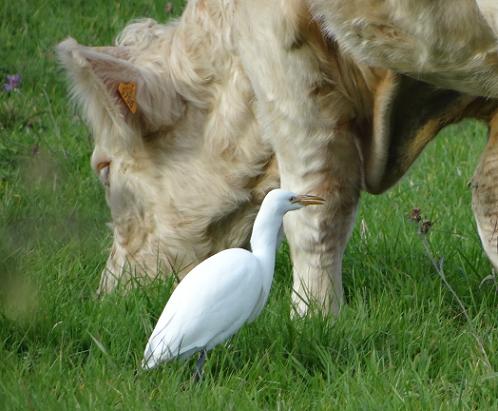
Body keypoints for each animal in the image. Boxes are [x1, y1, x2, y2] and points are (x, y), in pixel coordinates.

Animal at [58, 0, 498, 316]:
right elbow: (488, 195)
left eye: (104, 169)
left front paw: (315, 319)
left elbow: (316, 211)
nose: (108, 295)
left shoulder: (277, 45)